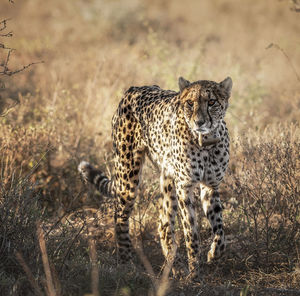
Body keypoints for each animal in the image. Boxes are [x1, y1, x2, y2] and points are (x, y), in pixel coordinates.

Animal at [78, 76, 232, 278]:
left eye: (212, 102)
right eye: (190, 103)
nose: (199, 122)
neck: (205, 142)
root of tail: (134, 88)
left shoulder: (211, 185)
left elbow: (219, 227)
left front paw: (214, 253)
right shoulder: (185, 187)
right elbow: (191, 232)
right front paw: (195, 273)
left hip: (167, 179)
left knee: (164, 223)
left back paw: (174, 264)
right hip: (128, 177)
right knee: (120, 216)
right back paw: (127, 263)